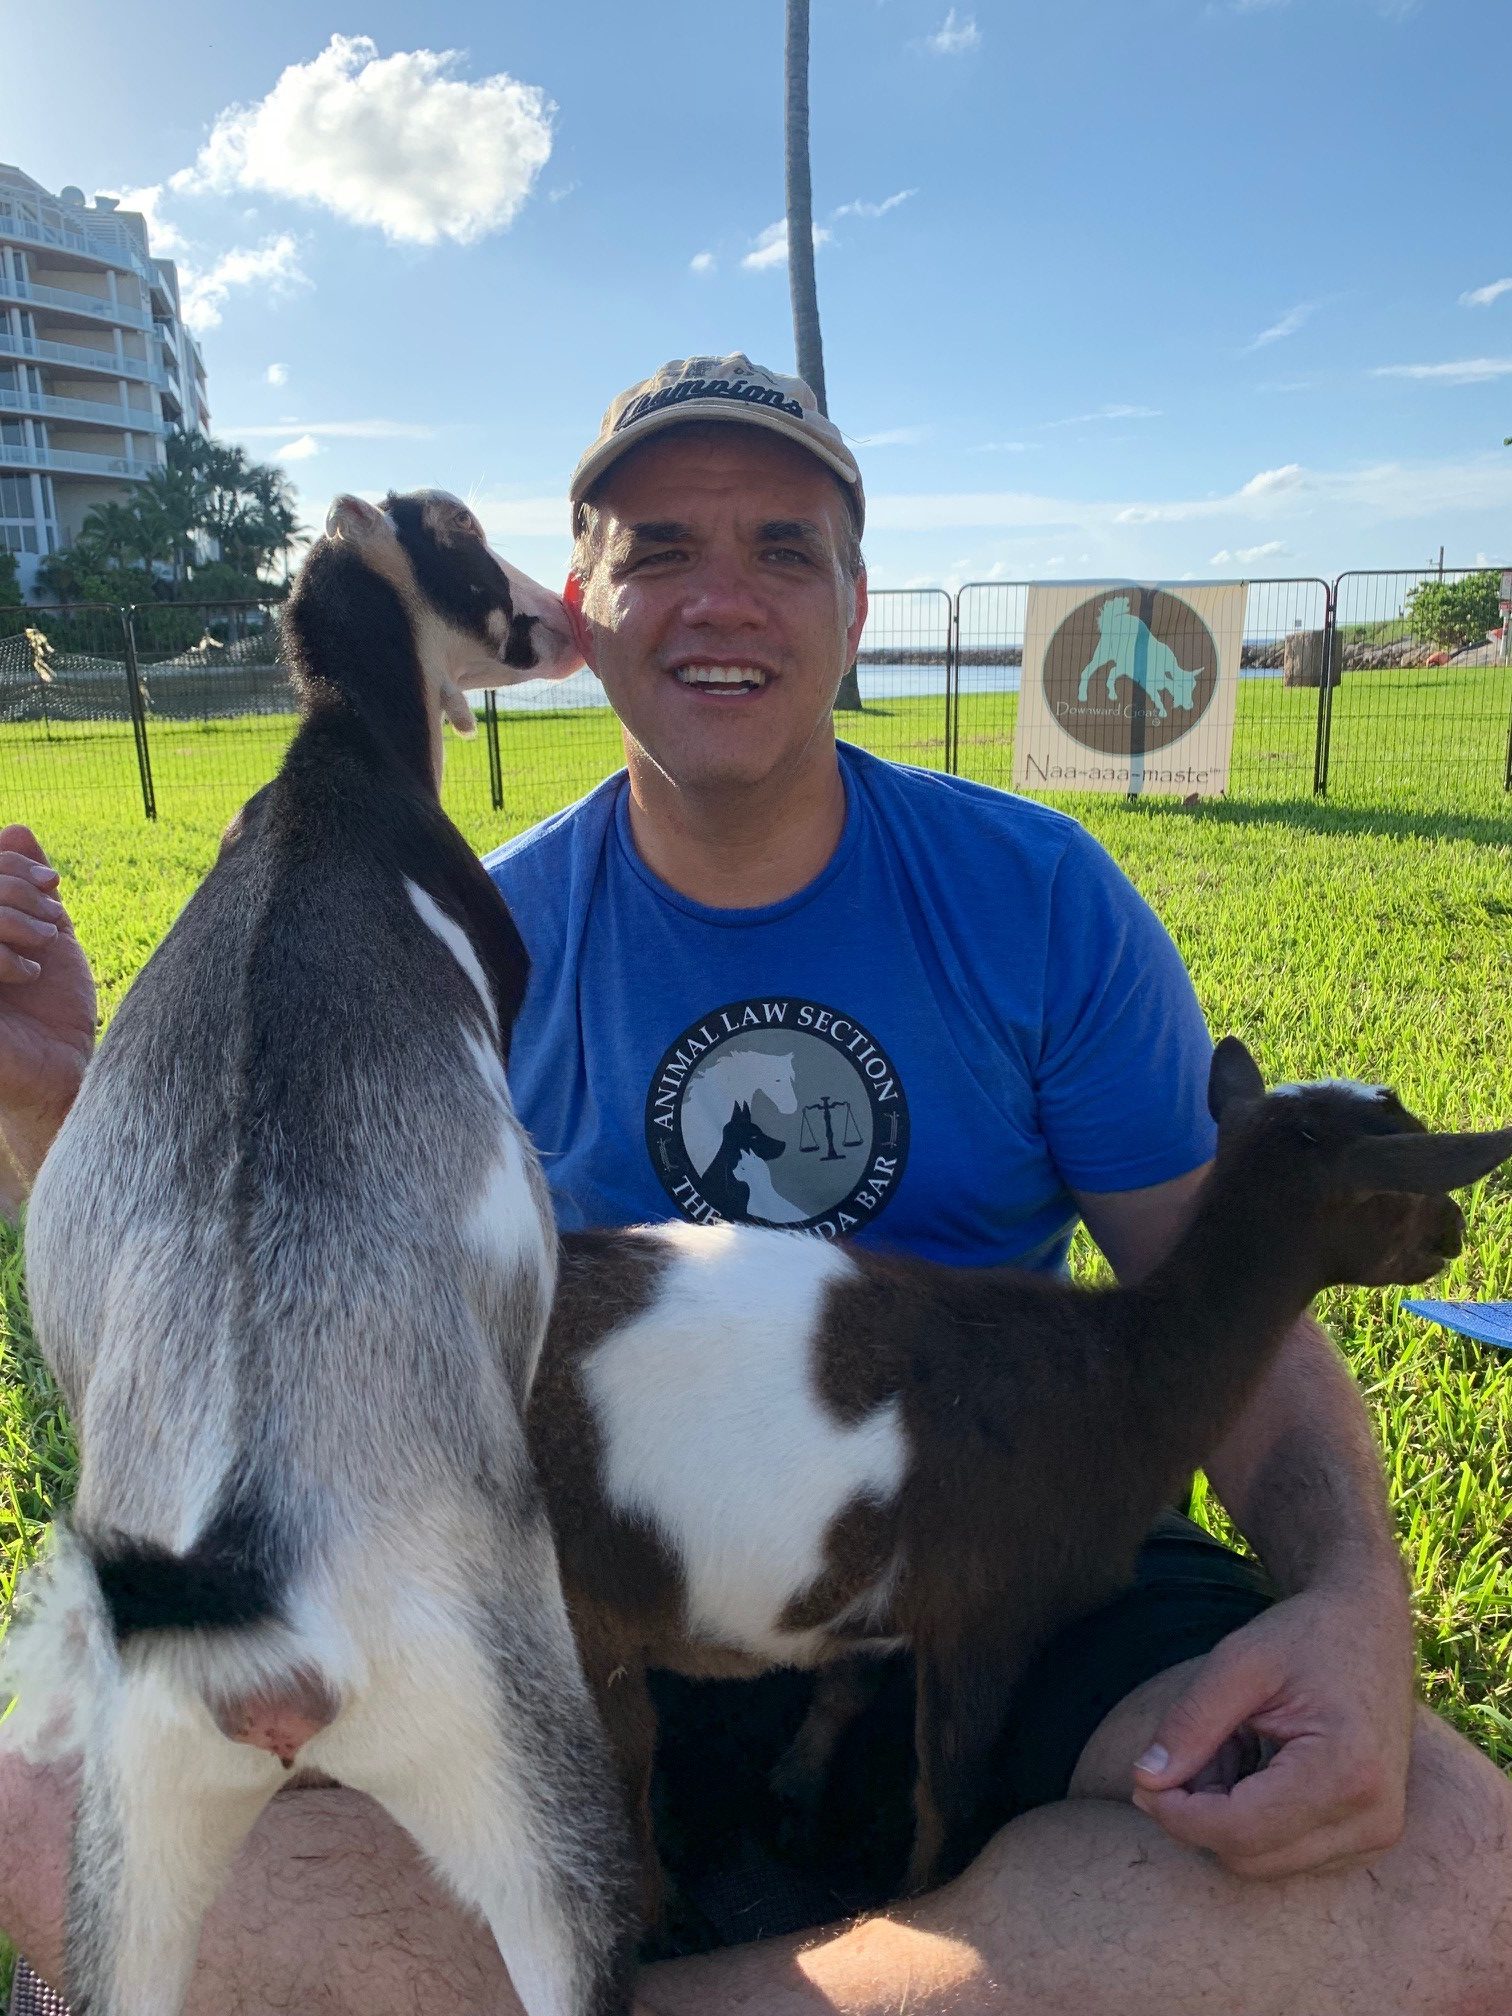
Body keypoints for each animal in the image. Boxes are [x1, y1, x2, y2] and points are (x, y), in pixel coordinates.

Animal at [1, 487, 641, 2016]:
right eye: (460, 539)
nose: (568, 613)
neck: (327, 771)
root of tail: (254, 1556)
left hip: (137, 1844)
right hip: (520, 1788)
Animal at [528, 1048, 1512, 1927]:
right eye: (1402, 1180)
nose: (1453, 1236)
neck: (1120, 1378)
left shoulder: (881, 1593)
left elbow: (845, 1686)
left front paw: (794, 1794)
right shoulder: (989, 1608)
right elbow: (950, 1790)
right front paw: (919, 1895)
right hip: (580, 1614)